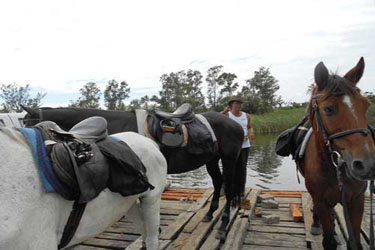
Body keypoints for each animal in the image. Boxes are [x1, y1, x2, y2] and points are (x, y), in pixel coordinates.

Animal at [24, 106, 247, 239]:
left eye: (27, 122)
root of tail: (236, 125)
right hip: (212, 160)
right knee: (218, 183)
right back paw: (209, 214)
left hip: (229, 160)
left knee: (228, 187)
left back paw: (223, 226)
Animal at [302, 57, 375, 250]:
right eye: (328, 109)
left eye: (366, 105)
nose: (368, 165)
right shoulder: (321, 201)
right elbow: (328, 241)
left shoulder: (356, 200)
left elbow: (355, 241)